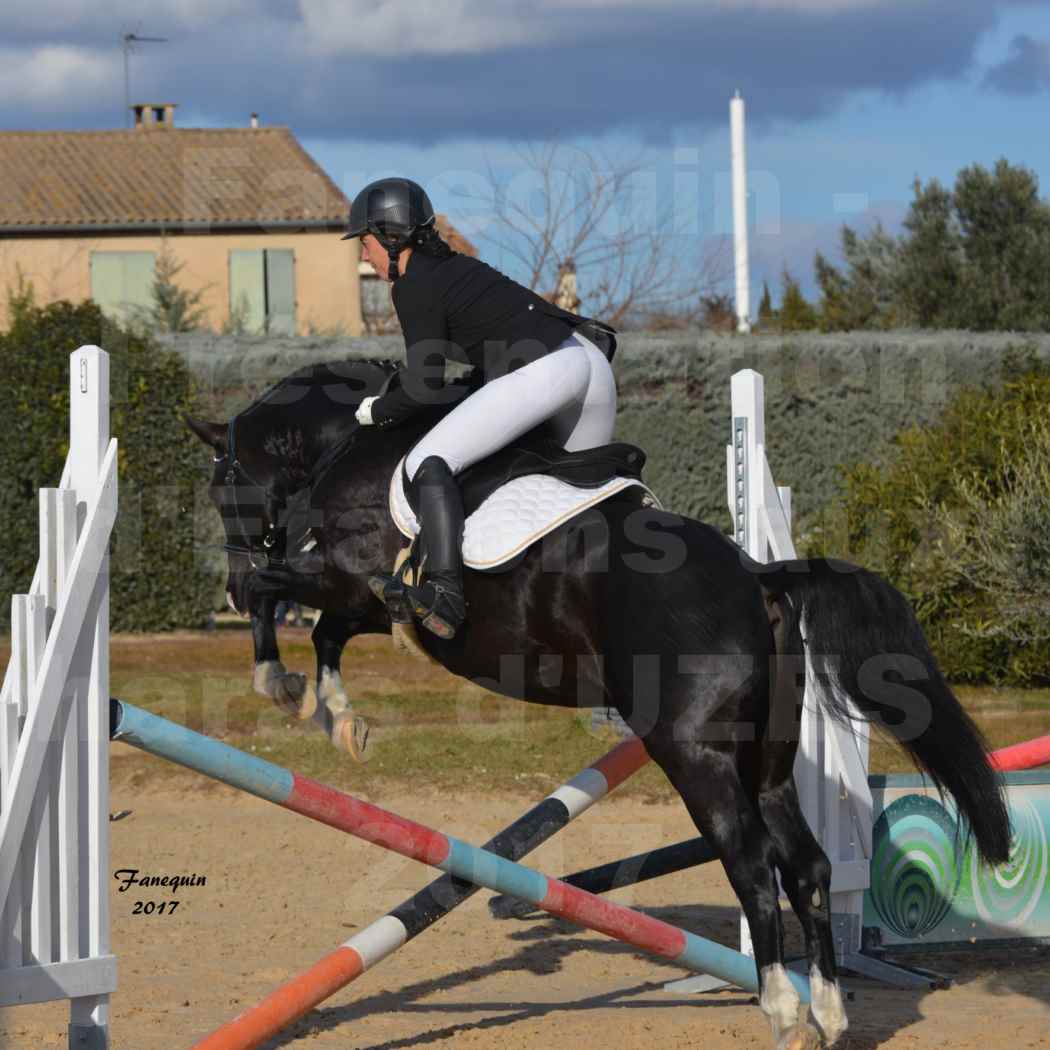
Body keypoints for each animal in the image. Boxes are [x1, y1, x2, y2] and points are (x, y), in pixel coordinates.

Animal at [184, 361, 1012, 1050]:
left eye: (222, 486)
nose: (222, 581)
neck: (351, 445)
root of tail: (757, 574)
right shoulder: (372, 600)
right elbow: (326, 630)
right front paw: (338, 716)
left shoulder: (346, 576)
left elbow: (279, 595)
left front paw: (280, 682)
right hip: (767, 763)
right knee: (805, 866)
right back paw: (829, 1011)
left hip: (694, 754)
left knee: (751, 863)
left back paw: (782, 1006)